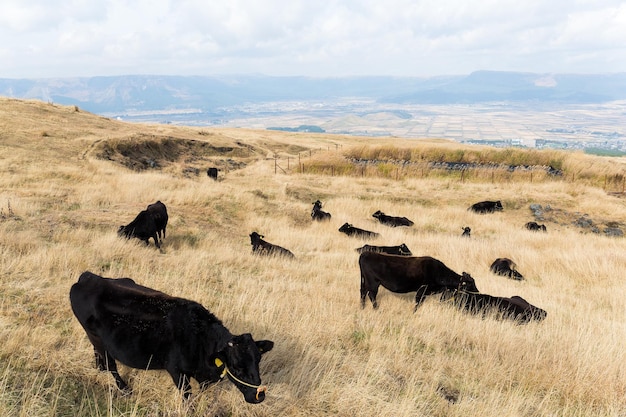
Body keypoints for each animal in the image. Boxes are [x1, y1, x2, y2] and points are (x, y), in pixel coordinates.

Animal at [69, 272, 272, 402]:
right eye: (236, 367)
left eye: (258, 360)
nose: (259, 396)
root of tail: (89, 277)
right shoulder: (176, 371)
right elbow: (187, 397)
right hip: (95, 337)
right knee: (111, 365)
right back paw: (124, 388)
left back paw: (99, 368)